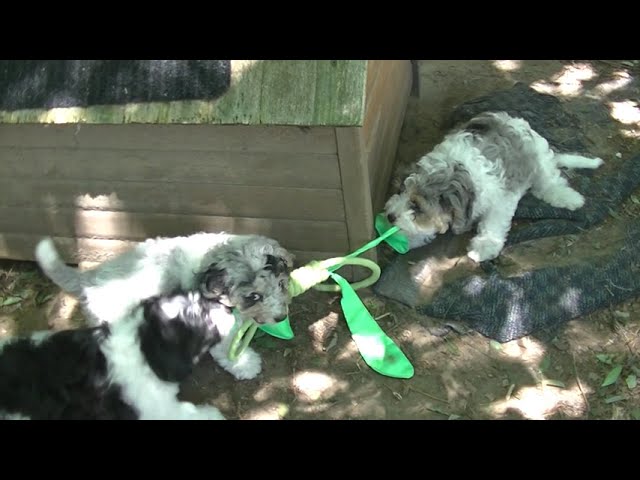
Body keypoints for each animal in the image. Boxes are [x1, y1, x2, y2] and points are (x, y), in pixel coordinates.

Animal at [35, 232, 296, 378]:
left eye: (281, 284)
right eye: (254, 296)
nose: (281, 317)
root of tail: (89, 280)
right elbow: (225, 346)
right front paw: (244, 364)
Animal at [382, 112, 604, 262]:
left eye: (417, 206)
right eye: (400, 191)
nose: (390, 216)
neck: (459, 172)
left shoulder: (502, 199)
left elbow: (494, 223)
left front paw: (484, 246)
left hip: (540, 160)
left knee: (549, 182)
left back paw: (568, 197)